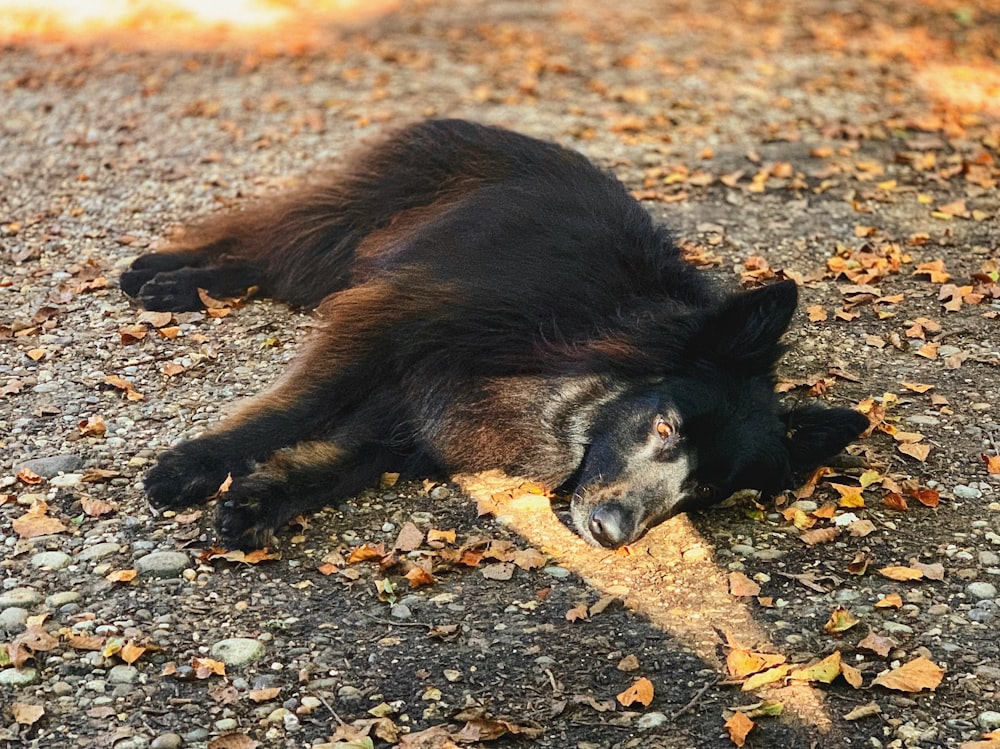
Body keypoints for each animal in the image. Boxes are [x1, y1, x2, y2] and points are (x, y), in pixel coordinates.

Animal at [119, 118, 868, 548]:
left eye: (709, 491)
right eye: (666, 428)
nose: (613, 534)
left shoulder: (419, 420)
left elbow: (335, 463)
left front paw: (261, 501)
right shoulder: (388, 324)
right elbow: (296, 408)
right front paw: (192, 466)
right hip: (344, 231)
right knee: (263, 249)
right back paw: (166, 279)